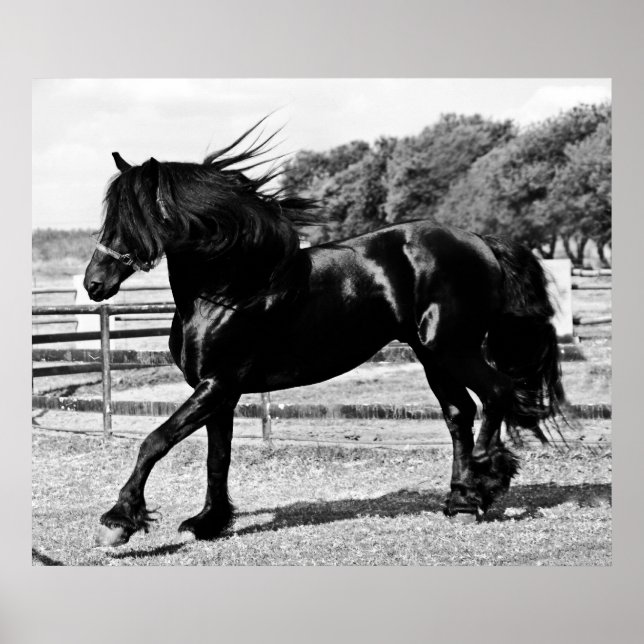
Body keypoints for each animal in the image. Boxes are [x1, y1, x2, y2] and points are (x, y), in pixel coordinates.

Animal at [84, 122, 564, 547]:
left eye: (136, 217)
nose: (94, 284)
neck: (229, 289)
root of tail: (481, 242)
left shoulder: (217, 385)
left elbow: (155, 441)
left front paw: (119, 522)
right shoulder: (220, 392)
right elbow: (216, 457)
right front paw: (208, 522)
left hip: (452, 349)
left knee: (496, 393)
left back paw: (487, 479)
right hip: (433, 355)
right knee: (459, 414)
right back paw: (461, 501)